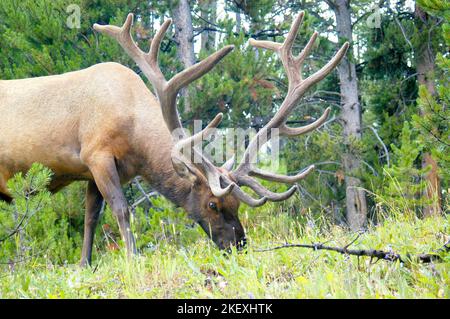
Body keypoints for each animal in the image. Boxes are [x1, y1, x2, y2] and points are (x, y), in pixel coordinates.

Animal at [0, 10, 348, 266]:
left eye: (237, 203)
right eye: (212, 203)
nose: (240, 246)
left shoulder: (93, 171)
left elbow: (91, 218)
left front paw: (85, 264)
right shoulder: (96, 154)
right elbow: (121, 210)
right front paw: (133, 260)